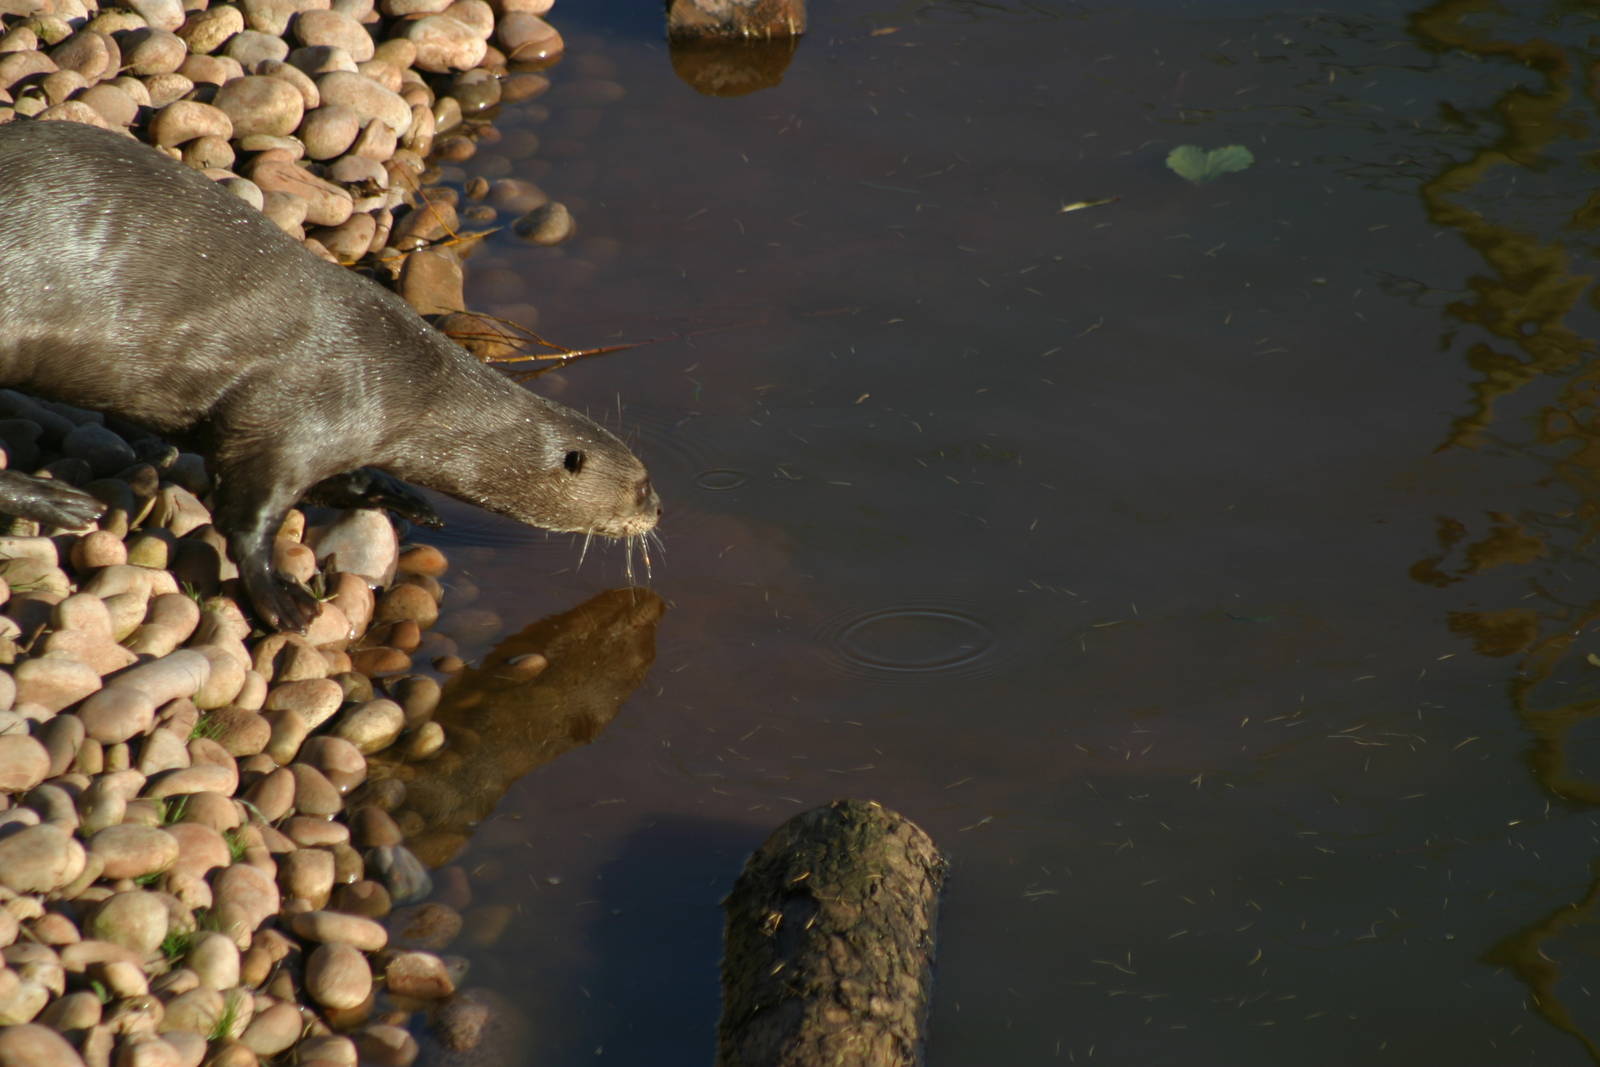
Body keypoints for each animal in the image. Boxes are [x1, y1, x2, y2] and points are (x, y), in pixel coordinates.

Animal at [0, 119, 660, 631]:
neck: (401, 382)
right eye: (641, 483)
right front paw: (281, 601)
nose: (656, 512)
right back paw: (60, 503)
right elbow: (246, 516)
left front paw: (394, 494)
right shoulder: (290, 416)